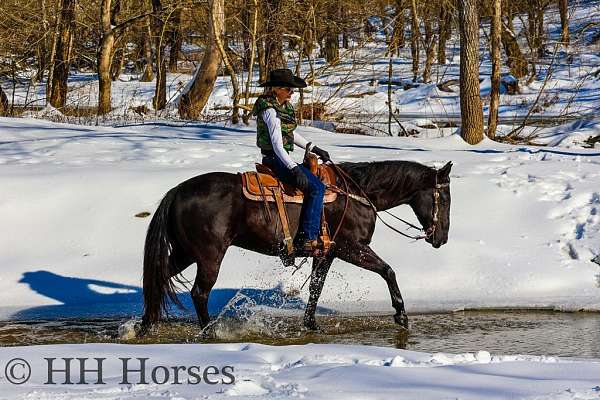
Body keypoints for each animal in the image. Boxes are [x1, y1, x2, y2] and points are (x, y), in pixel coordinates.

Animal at [141, 159, 450, 332]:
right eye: (444, 198)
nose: (442, 238)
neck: (358, 192)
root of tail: (176, 191)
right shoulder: (351, 248)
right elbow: (388, 271)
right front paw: (401, 315)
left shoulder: (327, 253)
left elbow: (315, 287)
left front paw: (310, 324)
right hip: (209, 256)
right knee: (199, 293)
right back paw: (208, 331)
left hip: (185, 252)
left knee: (157, 278)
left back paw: (144, 326)